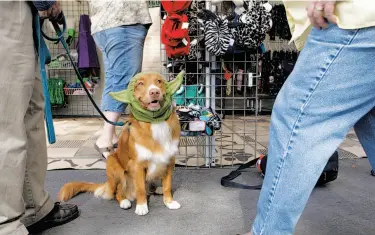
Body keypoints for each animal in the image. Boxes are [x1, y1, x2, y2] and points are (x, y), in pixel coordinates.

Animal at [57, 70, 185, 216]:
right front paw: (142, 206)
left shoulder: (169, 161)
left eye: (159, 81)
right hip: (114, 165)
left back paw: (156, 189)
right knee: (118, 191)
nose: (154, 92)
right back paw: (124, 201)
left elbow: (167, 186)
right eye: (140, 83)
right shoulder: (138, 165)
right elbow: (141, 189)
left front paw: (169, 202)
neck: (155, 122)